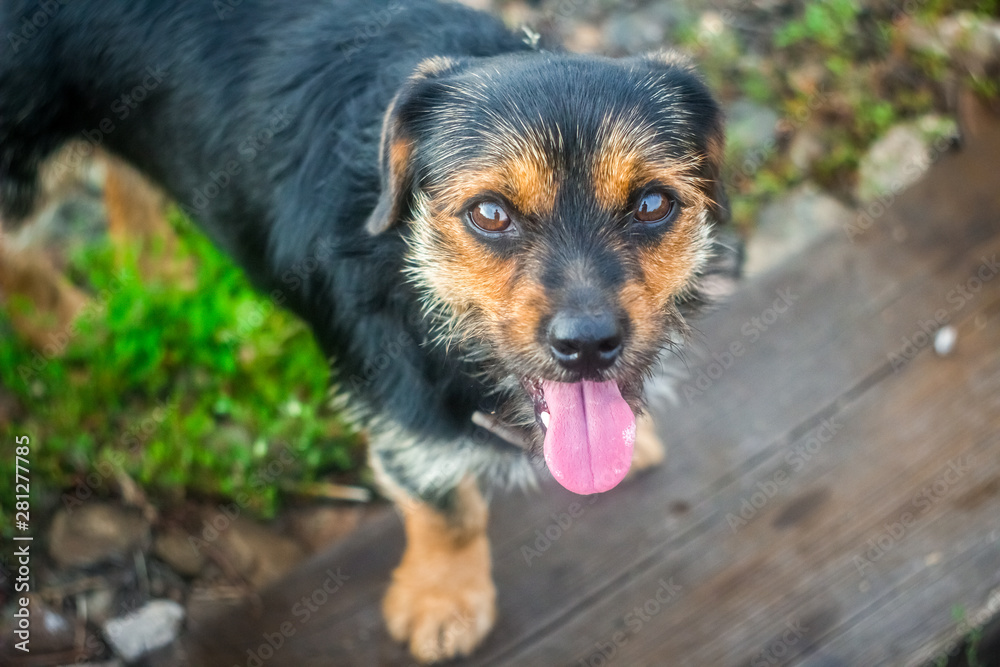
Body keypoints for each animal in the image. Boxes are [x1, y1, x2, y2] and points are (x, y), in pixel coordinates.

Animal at [1, 0, 744, 664]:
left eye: (653, 203)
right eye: (490, 213)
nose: (588, 344)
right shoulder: (399, 414)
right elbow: (446, 510)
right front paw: (444, 602)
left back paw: (161, 275)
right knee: (18, 254)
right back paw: (70, 324)